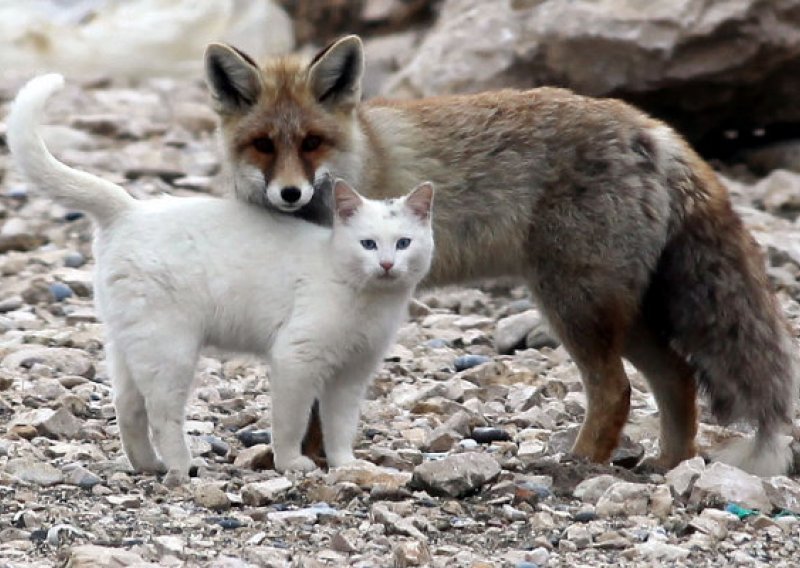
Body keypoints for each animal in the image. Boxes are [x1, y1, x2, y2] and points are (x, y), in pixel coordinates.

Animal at [6, 74, 434, 480]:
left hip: (130, 346)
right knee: (162, 416)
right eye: (367, 244)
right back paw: (182, 469)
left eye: (403, 243)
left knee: (127, 408)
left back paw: (148, 465)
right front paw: (290, 463)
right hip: (170, 351)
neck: (367, 298)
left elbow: (340, 427)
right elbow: (290, 423)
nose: (387, 265)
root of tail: (130, 209)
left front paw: (347, 466)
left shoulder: (351, 376)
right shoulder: (295, 360)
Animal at [203, 33, 796, 472]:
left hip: (573, 303)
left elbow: (317, 402)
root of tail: (652, 127)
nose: (290, 193)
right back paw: (670, 465)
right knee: (676, 378)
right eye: (263, 145)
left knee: (616, 390)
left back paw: (578, 463)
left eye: (311, 143)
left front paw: (312, 459)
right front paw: (304, 457)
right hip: (623, 314)